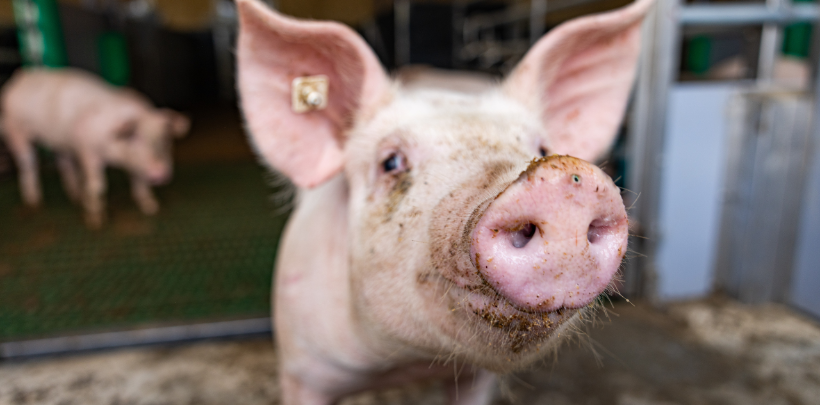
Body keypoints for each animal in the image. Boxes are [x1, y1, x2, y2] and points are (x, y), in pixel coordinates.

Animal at [1, 68, 190, 228]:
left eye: (165, 138)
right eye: (134, 137)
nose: (161, 172)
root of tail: (21, 76)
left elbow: (139, 181)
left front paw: (151, 207)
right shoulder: (88, 151)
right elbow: (97, 186)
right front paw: (96, 222)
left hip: (59, 141)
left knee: (63, 162)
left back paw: (76, 197)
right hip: (16, 131)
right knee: (27, 165)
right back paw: (34, 204)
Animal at [235, 0, 653, 403]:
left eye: (543, 149)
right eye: (391, 162)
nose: (565, 180)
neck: (408, 362)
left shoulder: (476, 377)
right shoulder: (302, 368)